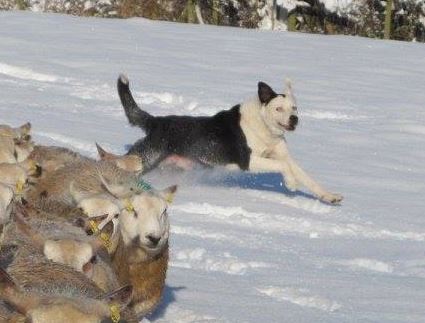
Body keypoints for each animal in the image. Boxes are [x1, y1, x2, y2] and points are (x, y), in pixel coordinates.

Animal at [116, 74, 342, 204]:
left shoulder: (284, 156)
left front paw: (329, 196)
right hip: (146, 158)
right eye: (278, 108)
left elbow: (305, 176)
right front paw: (291, 183)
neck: (263, 126)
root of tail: (155, 122)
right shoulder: (248, 160)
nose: (294, 119)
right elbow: (282, 167)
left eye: (294, 108)